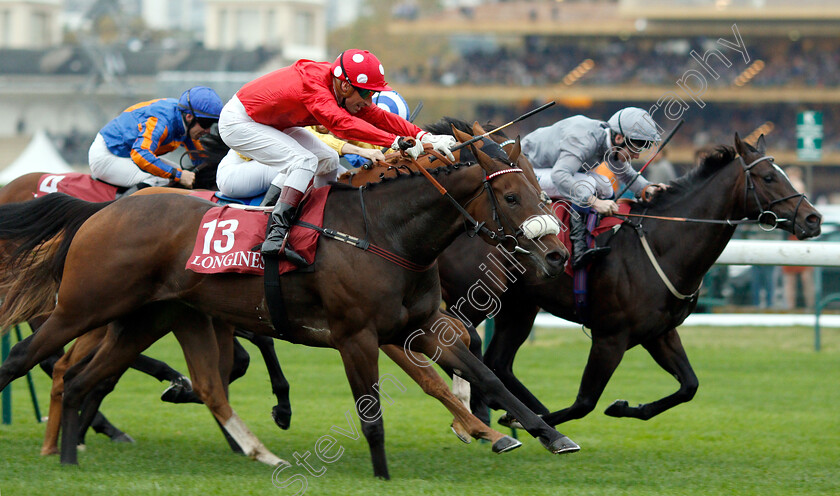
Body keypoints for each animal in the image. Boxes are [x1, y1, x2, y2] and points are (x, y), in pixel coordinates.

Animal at [0, 132, 576, 476]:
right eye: (511, 197)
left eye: (541, 190)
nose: (555, 252)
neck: (384, 232)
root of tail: (102, 212)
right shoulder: (356, 336)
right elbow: (374, 410)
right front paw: (384, 473)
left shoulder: (423, 324)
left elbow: (485, 375)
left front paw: (544, 434)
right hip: (83, 307)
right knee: (33, 359)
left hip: (144, 317)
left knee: (85, 379)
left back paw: (71, 456)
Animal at [434, 134, 820, 428]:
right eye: (768, 177)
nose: (813, 219)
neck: (663, 245)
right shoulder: (610, 336)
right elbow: (585, 403)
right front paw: (538, 422)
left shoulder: (660, 333)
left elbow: (689, 386)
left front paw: (624, 407)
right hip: (475, 299)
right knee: (465, 348)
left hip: (519, 307)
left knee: (498, 361)